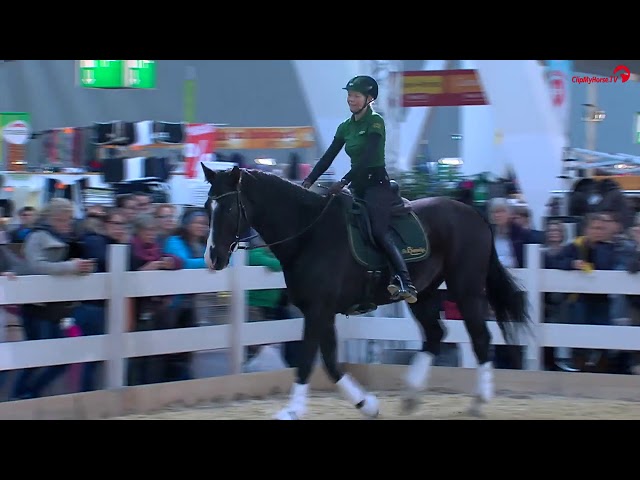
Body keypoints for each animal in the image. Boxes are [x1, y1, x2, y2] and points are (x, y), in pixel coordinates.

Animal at [202, 166, 528, 420]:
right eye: (207, 207)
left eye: (228, 208)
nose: (213, 258)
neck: (308, 233)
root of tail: (475, 214)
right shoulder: (320, 310)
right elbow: (331, 363)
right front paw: (368, 404)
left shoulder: (318, 310)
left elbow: (307, 361)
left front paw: (291, 411)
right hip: (422, 294)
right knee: (435, 335)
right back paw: (410, 397)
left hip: (466, 288)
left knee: (480, 337)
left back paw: (479, 401)